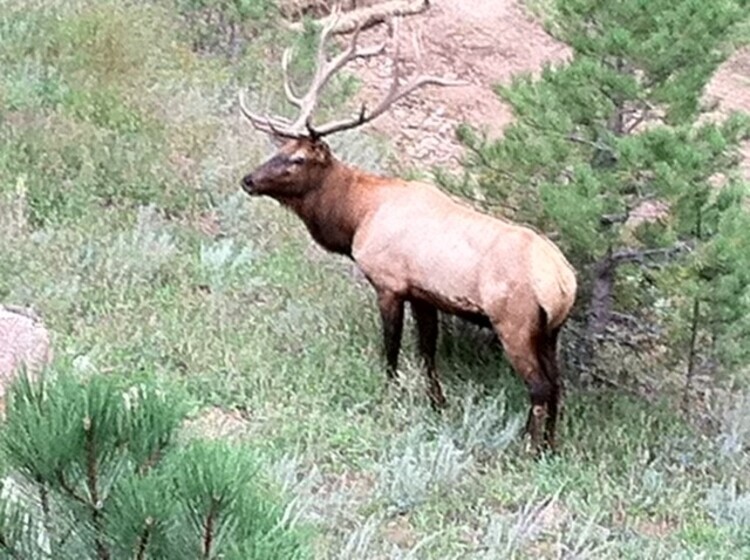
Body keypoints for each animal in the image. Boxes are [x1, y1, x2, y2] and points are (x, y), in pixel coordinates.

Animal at [238, 15, 580, 452]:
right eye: (277, 148)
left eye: (297, 159)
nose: (249, 180)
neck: (357, 216)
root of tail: (563, 283)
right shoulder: (425, 295)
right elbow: (427, 355)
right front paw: (437, 404)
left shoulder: (389, 282)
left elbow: (391, 351)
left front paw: (390, 394)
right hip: (551, 330)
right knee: (557, 384)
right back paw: (550, 447)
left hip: (514, 321)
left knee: (539, 386)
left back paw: (528, 450)